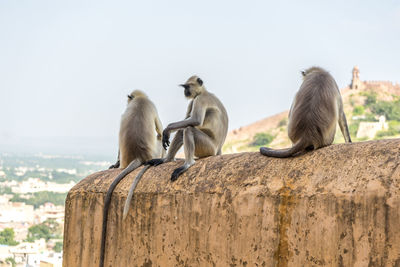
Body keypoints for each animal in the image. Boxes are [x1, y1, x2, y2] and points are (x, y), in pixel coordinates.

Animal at [101, 90, 165, 267]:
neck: (140, 100)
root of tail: (139, 156)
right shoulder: (152, 105)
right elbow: (161, 130)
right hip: (155, 151)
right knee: (159, 137)